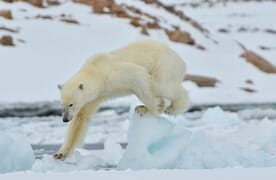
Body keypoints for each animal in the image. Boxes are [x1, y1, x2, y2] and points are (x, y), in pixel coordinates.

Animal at [52, 40, 189, 160]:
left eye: (71, 104)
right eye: (62, 104)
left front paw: (151, 109)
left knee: (162, 85)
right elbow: (80, 119)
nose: (65, 119)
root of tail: (179, 59)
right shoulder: (94, 97)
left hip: (164, 65)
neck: (95, 71)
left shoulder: (112, 74)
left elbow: (138, 75)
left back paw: (172, 108)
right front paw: (60, 154)